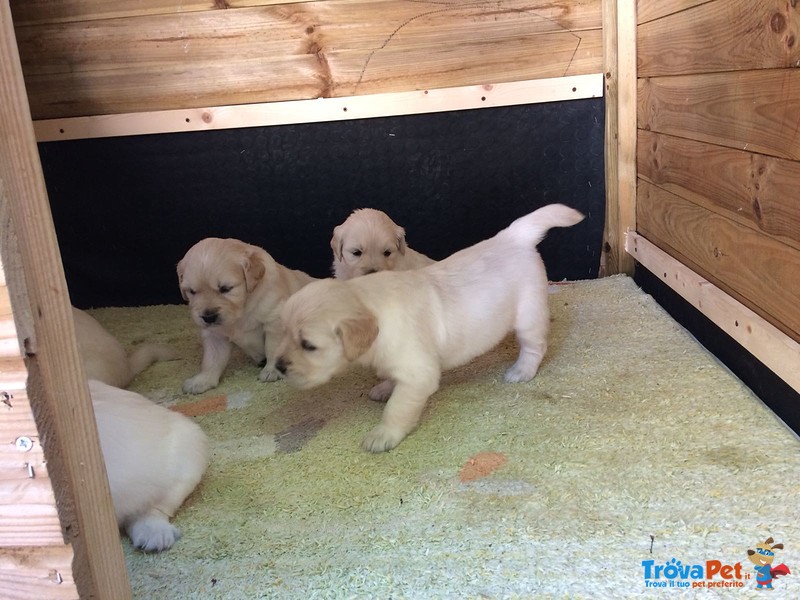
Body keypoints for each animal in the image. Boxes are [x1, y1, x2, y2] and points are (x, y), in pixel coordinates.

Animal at [274, 204, 580, 452]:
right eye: (284, 333)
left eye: (309, 345)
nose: (278, 366)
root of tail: (513, 236)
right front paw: (384, 387)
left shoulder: (419, 373)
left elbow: (398, 407)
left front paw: (383, 435)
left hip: (529, 312)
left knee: (535, 345)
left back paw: (521, 371)